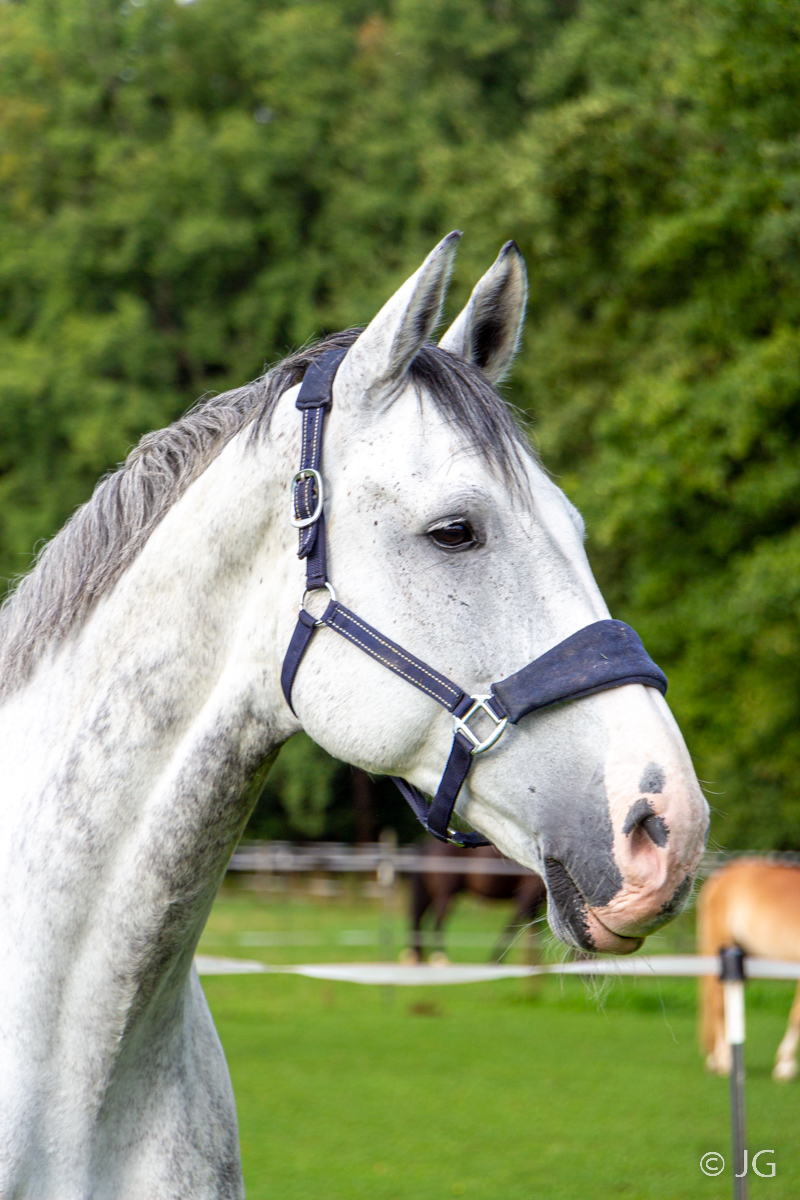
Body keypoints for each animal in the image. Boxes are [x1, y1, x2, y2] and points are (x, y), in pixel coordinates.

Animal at [405, 839, 547, 963]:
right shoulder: (528, 895)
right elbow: (514, 926)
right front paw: (495, 959)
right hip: (445, 895)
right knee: (438, 922)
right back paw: (440, 956)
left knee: (421, 920)